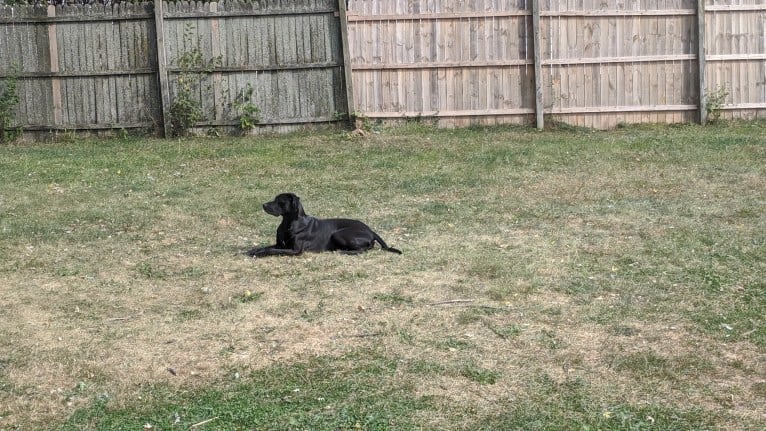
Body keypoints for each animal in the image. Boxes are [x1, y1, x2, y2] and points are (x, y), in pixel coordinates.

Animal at [248, 194, 404, 258]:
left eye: (280, 201)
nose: (264, 205)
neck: (288, 223)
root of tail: (370, 230)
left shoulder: (295, 250)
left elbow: (273, 250)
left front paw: (260, 254)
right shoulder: (280, 244)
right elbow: (268, 247)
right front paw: (254, 250)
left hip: (338, 234)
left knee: (364, 249)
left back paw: (344, 252)